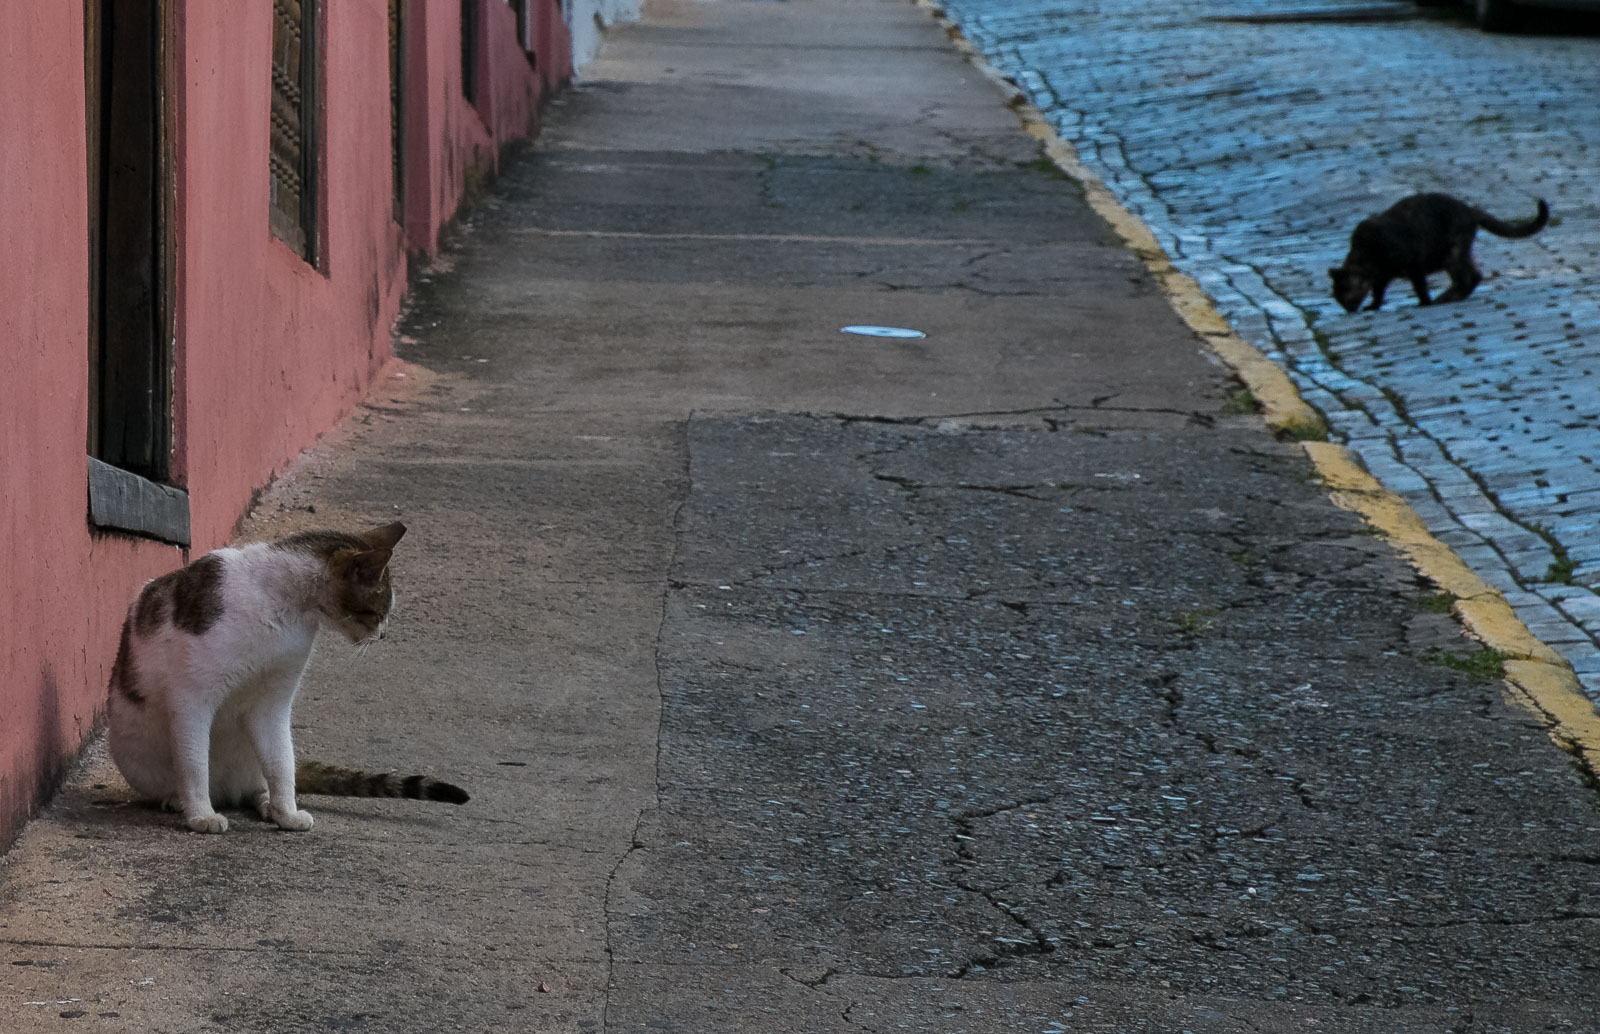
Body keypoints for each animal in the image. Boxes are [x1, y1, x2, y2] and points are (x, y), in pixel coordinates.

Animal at [108, 521, 464, 838]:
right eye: (377, 613)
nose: (384, 635)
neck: (283, 607)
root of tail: (225, 788)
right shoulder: (193, 698)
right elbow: (195, 765)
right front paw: (201, 815)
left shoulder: (273, 702)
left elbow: (281, 762)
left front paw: (286, 812)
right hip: (137, 757)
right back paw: (178, 800)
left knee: (262, 781)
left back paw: (267, 803)